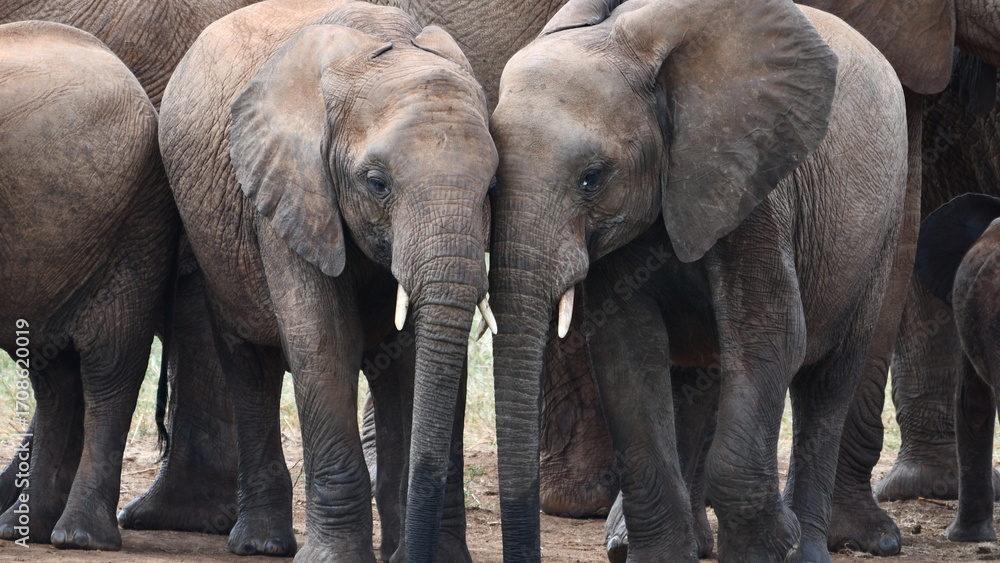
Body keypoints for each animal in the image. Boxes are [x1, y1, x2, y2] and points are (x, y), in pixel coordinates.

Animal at [158, 0, 497, 560]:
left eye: (492, 185)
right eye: (377, 184)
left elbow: (417, 353)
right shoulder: (288, 190)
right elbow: (324, 342)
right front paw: (334, 558)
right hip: (217, 245)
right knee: (249, 364)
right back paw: (262, 544)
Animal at [488, 0, 911, 561]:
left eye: (592, 178)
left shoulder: (756, 187)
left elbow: (771, 338)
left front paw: (771, 547)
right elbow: (627, 351)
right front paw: (661, 557)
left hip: (877, 233)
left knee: (828, 381)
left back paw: (809, 549)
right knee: (693, 383)